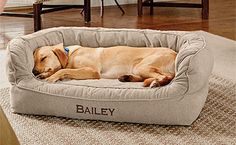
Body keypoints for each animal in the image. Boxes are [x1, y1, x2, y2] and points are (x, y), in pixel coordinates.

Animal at [33, 43, 177, 88]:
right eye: (34, 60)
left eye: (43, 58)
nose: (34, 72)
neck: (69, 54)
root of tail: (176, 54)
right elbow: (63, 70)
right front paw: (45, 74)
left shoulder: (92, 71)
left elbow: (62, 70)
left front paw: (51, 77)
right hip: (139, 69)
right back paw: (127, 77)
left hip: (141, 67)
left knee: (165, 77)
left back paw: (156, 83)